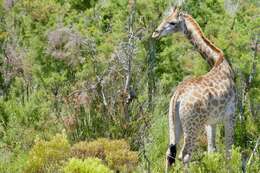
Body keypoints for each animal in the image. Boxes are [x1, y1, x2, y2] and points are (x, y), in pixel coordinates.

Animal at [152, 7, 236, 172]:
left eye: (171, 22)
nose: (155, 33)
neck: (218, 60)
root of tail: (177, 97)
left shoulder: (211, 122)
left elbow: (212, 150)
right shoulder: (230, 115)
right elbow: (228, 151)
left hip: (174, 122)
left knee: (170, 153)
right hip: (193, 125)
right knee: (184, 154)